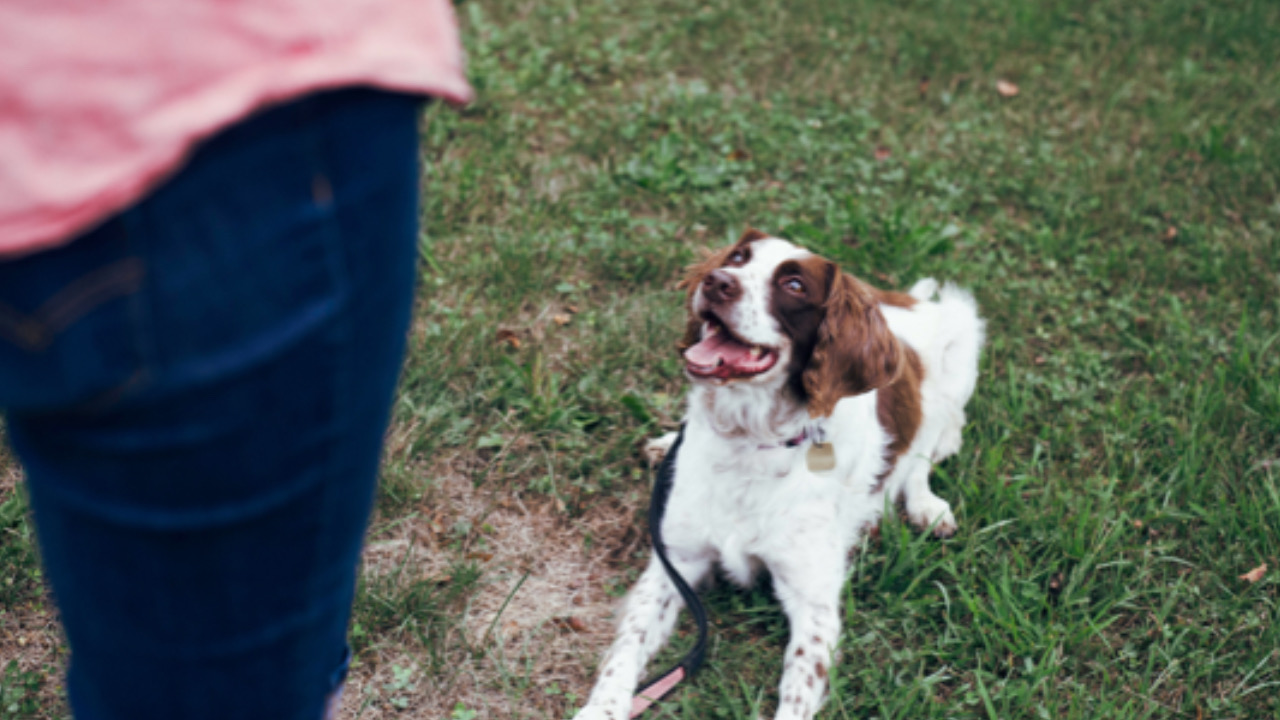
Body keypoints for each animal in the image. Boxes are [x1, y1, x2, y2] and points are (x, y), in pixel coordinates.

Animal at [576, 228, 983, 717]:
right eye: (737, 257)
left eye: (794, 285)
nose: (717, 281)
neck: (749, 440)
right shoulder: (675, 561)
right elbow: (625, 652)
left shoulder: (814, 601)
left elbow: (797, 690)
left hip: (961, 340)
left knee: (926, 450)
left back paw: (927, 506)